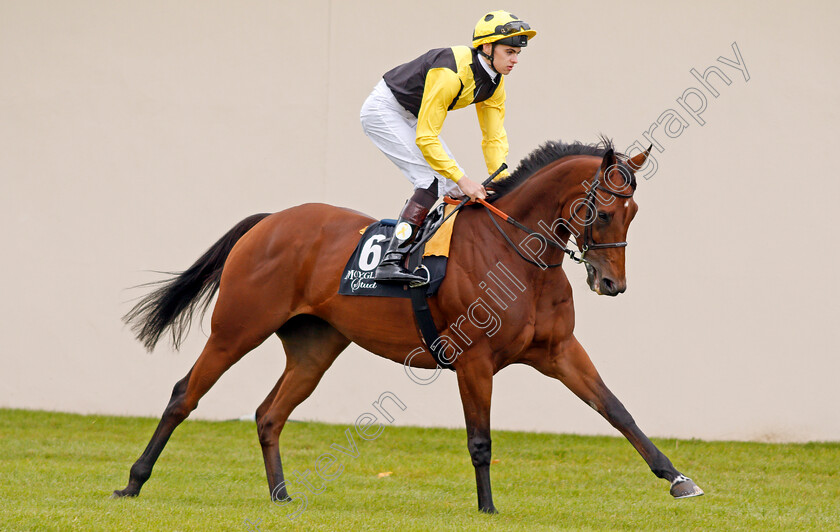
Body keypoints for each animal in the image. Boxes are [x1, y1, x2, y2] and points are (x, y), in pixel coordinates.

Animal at [111, 139, 704, 512]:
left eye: (633, 214)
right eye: (602, 212)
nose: (611, 284)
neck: (519, 257)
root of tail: (271, 221)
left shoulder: (559, 351)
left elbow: (618, 411)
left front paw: (678, 478)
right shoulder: (474, 361)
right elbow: (480, 439)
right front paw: (488, 508)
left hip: (314, 348)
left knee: (269, 413)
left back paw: (280, 495)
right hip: (236, 329)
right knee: (184, 394)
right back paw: (132, 483)